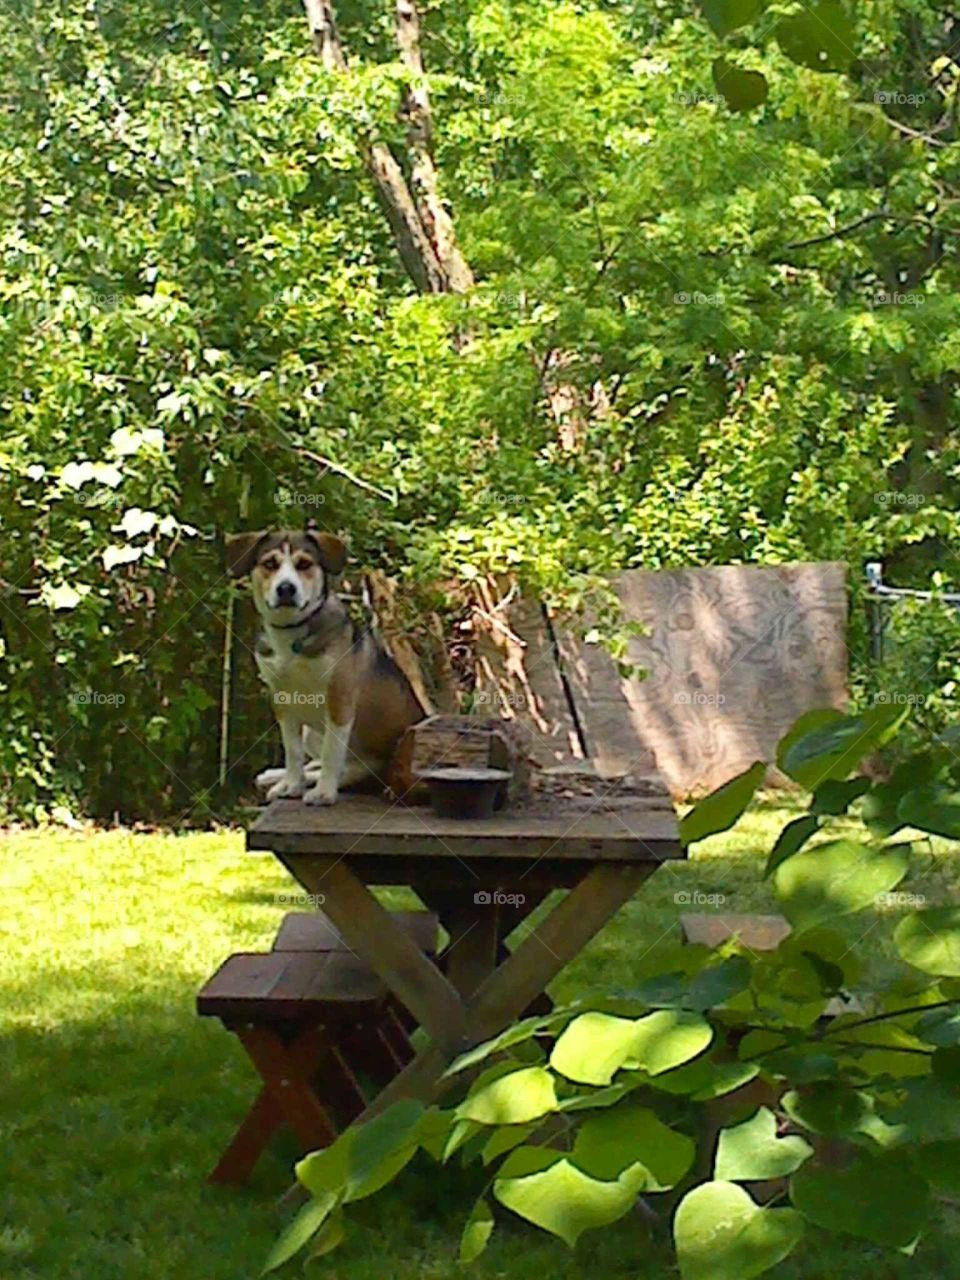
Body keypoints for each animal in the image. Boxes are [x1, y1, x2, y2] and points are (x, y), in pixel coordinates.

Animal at [227, 527, 422, 803]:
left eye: (304, 564)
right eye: (270, 564)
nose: (286, 589)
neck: (292, 635)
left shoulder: (340, 698)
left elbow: (332, 753)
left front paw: (323, 793)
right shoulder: (281, 699)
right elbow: (293, 751)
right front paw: (290, 784)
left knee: (342, 768)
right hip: (311, 733)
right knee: (313, 763)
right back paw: (276, 776)